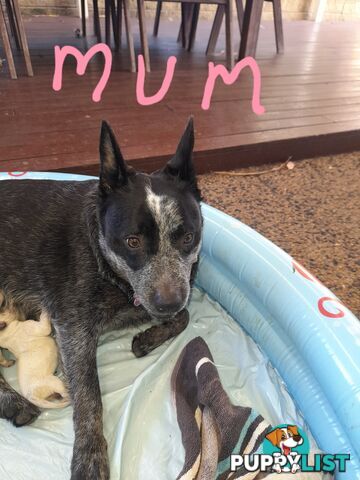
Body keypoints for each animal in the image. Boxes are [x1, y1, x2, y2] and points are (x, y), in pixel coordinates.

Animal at [0, 117, 202, 480]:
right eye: (132, 241)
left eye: (188, 237)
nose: (166, 302)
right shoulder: (74, 330)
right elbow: (90, 395)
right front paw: (90, 457)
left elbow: (185, 315)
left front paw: (148, 338)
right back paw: (13, 403)